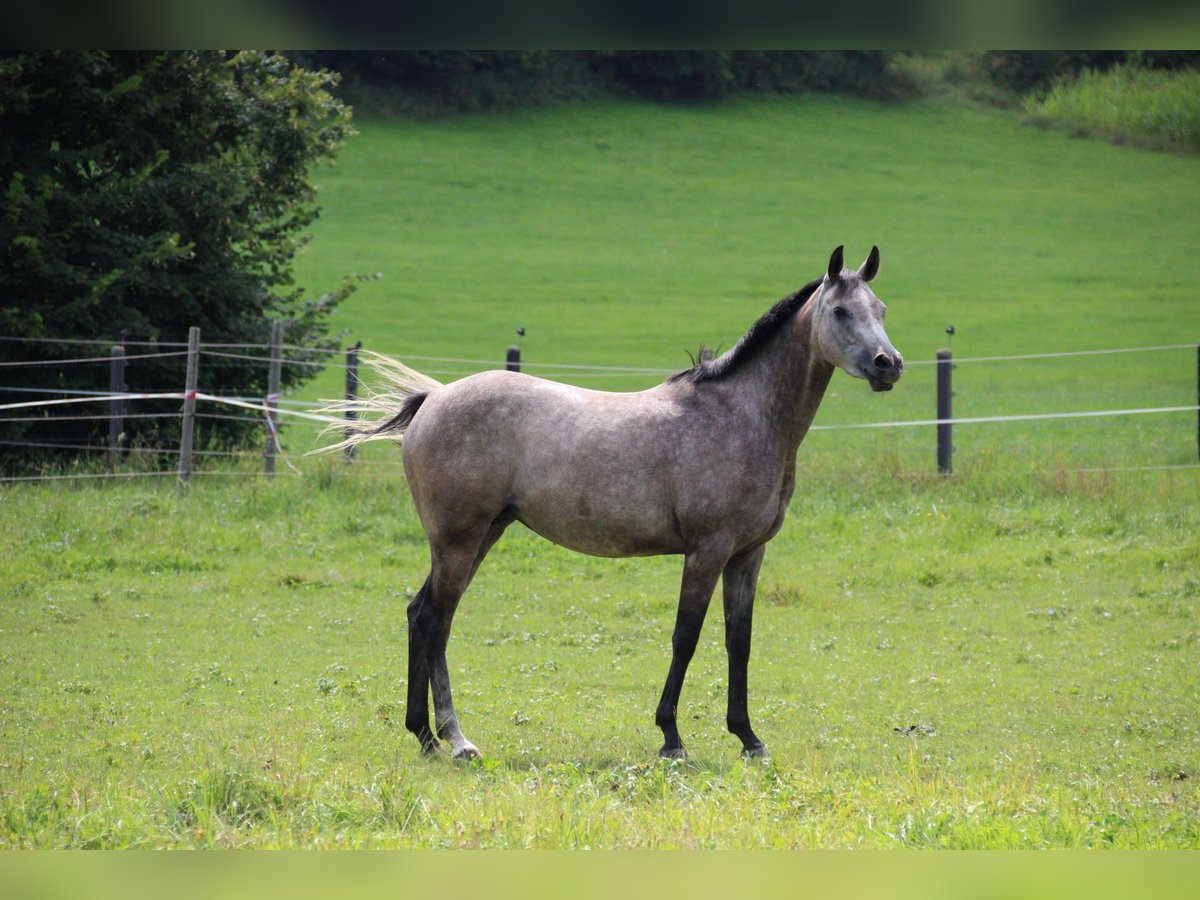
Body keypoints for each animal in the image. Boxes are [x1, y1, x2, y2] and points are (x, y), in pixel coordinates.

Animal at [324, 247, 902, 763]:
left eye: (881, 309)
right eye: (840, 311)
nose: (889, 364)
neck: (743, 415)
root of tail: (432, 400)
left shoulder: (747, 555)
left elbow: (739, 641)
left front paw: (748, 738)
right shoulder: (707, 551)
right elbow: (686, 637)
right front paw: (671, 738)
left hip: (482, 535)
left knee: (420, 615)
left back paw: (424, 736)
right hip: (459, 541)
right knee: (436, 622)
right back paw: (456, 739)